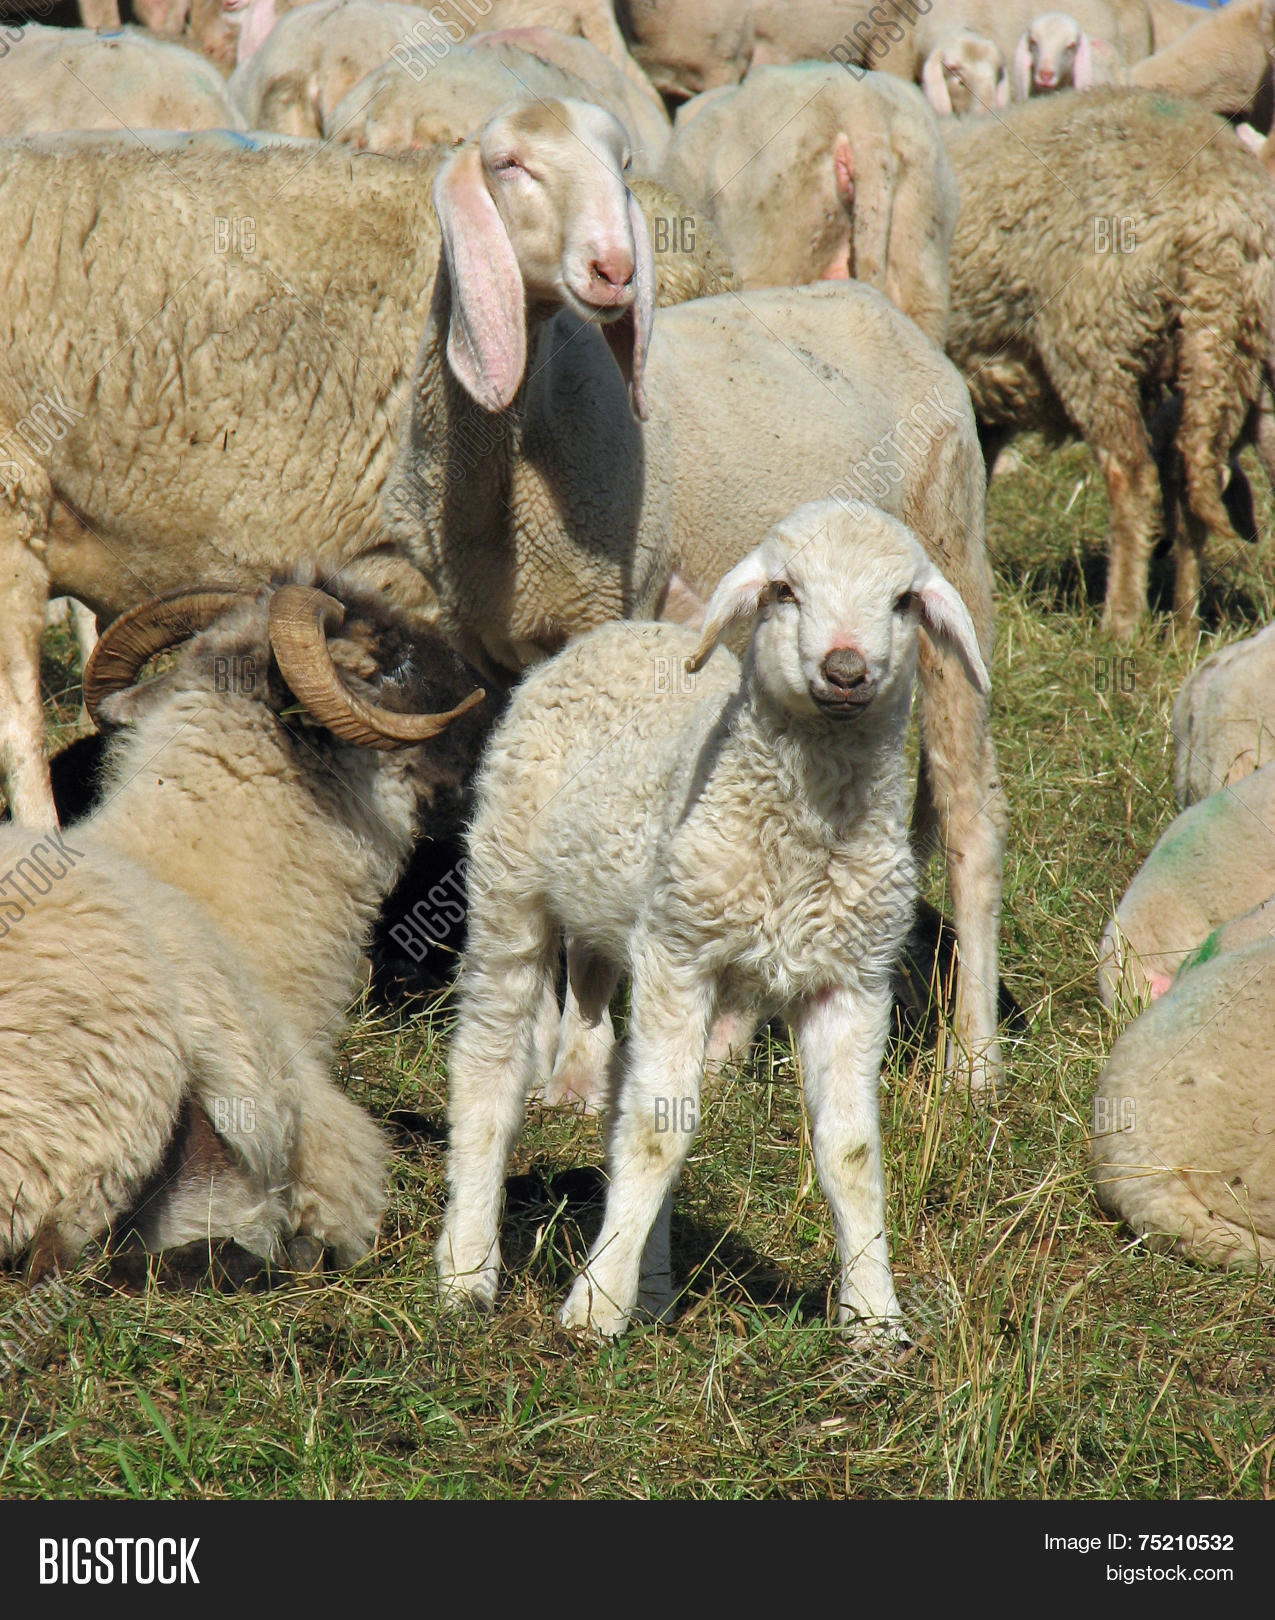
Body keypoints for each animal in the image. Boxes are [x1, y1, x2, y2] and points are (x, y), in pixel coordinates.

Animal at [436, 499, 990, 1337]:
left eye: (901, 601)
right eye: (784, 590)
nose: (845, 670)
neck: (804, 839)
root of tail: (621, 633)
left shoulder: (851, 979)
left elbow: (851, 1153)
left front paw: (873, 1317)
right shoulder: (680, 954)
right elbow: (660, 1132)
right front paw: (593, 1306)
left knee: (622, 1088)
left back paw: (652, 1283)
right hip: (511, 889)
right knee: (488, 1067)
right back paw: (468, 1268)